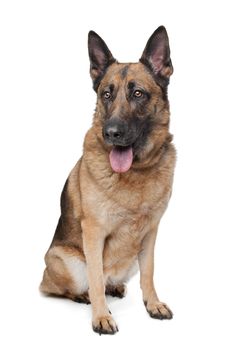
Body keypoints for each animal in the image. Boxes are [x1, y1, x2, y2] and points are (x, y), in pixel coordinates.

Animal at [39, 26, 175, 334]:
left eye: (138, 93)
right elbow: (95, 277)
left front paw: (153, 304)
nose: (111, 133)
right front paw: (101, 316)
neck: (136, 171)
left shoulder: (151, 233)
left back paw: (115, 287)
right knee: (67, 285)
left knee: (111, 278)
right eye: (106, 94)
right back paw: (84, 295)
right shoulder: (94, 232)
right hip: (63, 260)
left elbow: (149, 273)